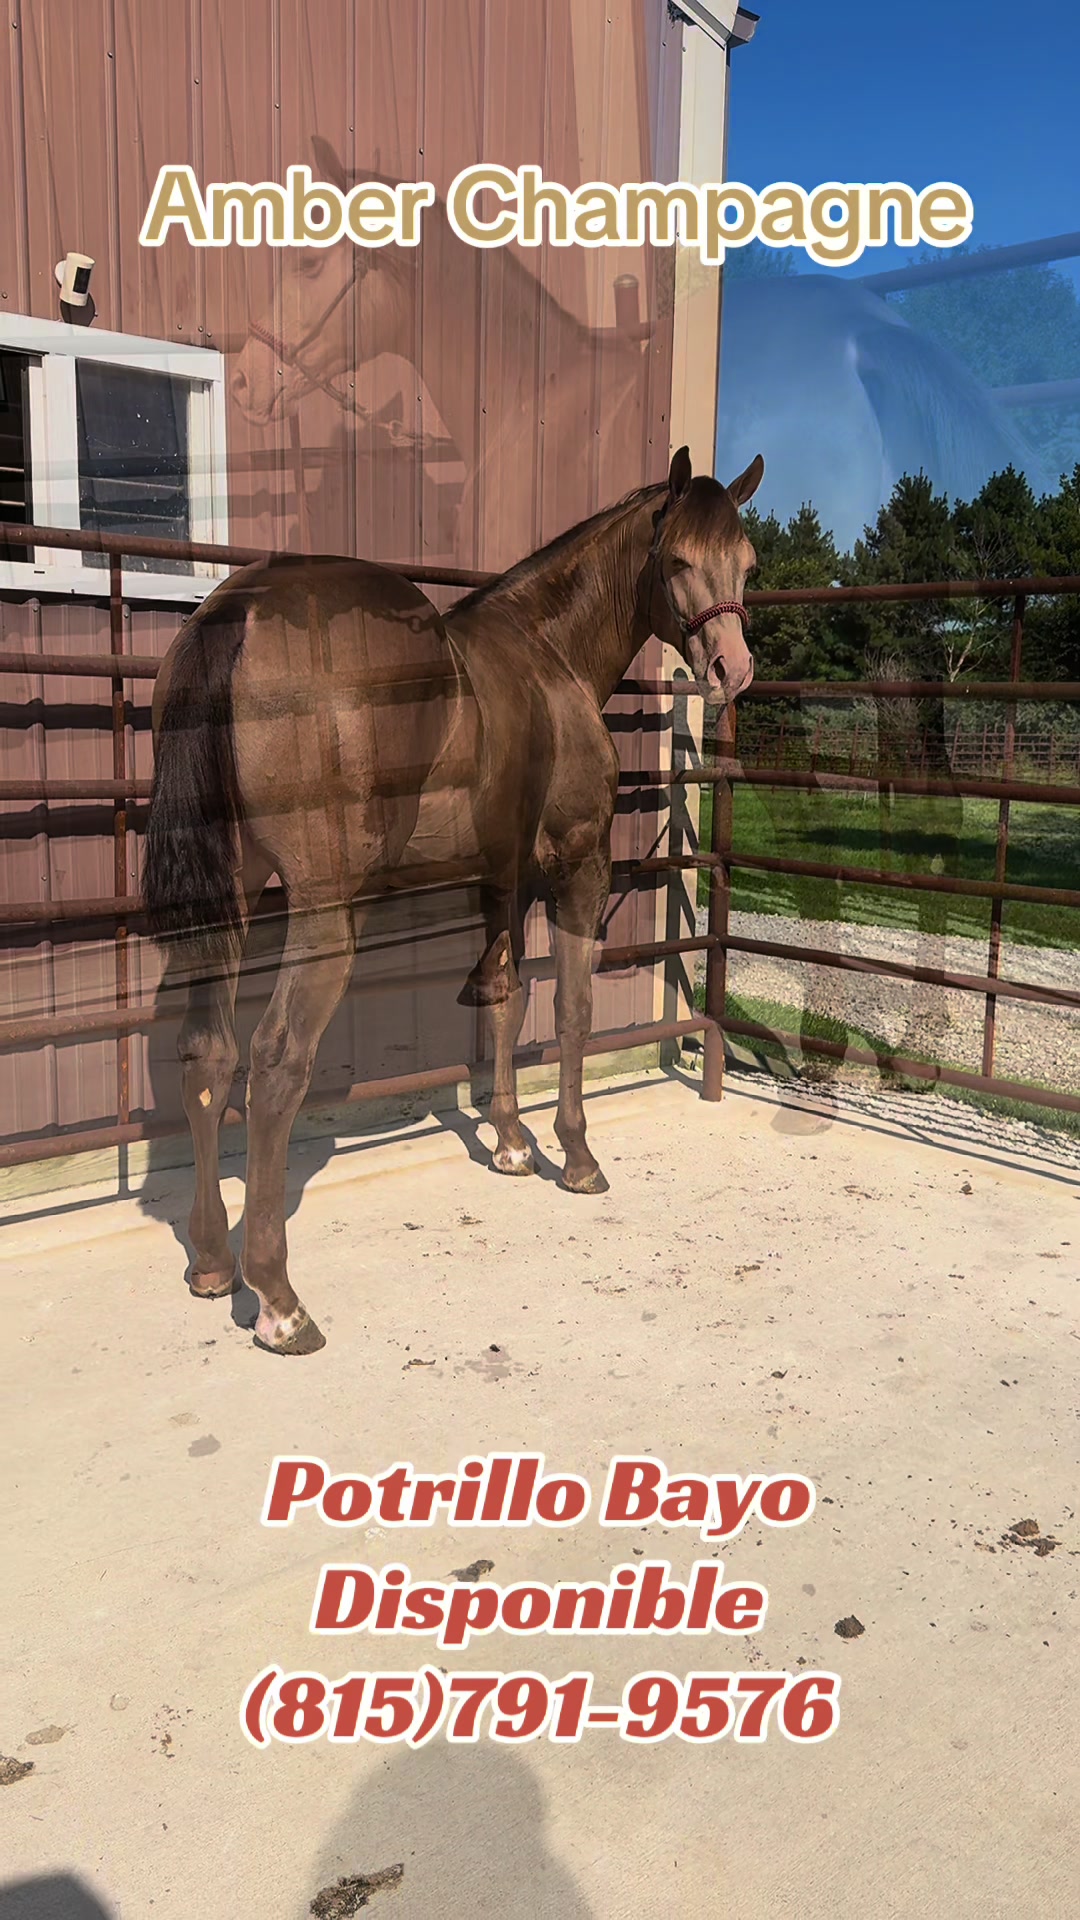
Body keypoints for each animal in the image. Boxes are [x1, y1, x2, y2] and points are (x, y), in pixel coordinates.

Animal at [141, 446, 763, 1356]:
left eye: (746, 565)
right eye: (678, 560)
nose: (731, 671)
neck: (548, 651)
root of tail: (238, 610)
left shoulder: (498, 878)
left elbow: (502, 998)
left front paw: (508, 1142)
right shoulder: (578, 868)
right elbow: (570, 1009)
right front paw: (575, 1158)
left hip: (233, 893)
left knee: (206, 1052)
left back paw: (214, 1264)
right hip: (324, 911)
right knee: (276, 1060)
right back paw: (280, 1300)